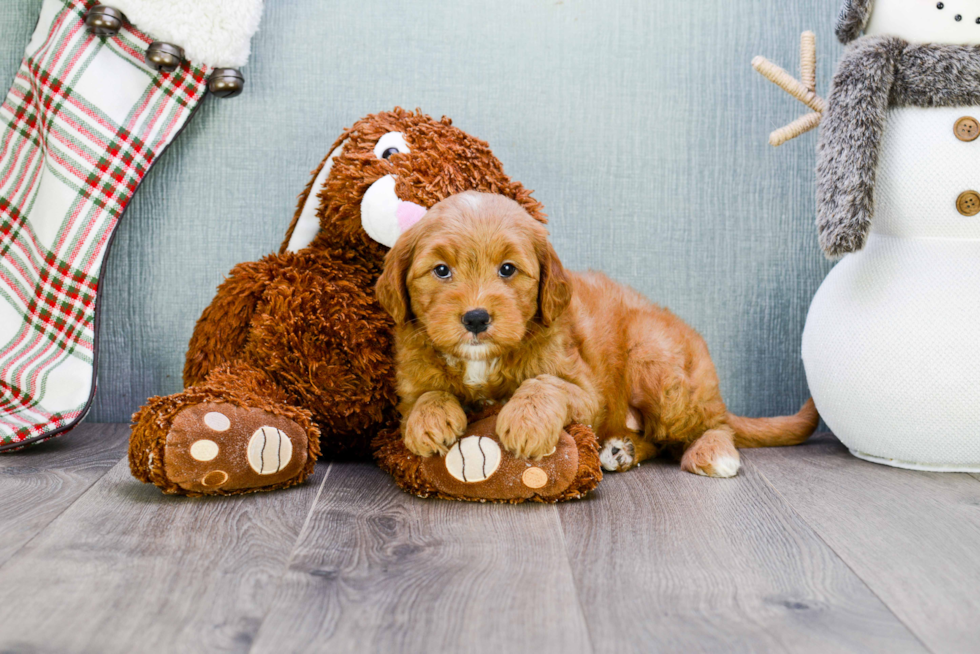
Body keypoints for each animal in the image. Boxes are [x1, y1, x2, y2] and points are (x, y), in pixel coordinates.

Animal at [376, 192, 820, 480]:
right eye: (441, 270)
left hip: (656, 360)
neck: (482, 362)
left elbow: (545, 383)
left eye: (507, 269)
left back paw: (712, 452)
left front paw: (524, 421)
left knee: (709, 426)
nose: (476, 318)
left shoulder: (588, 392)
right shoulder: (408, 383)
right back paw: (620, 451)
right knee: (658, 439)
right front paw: (429, 420)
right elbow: (427, 395)